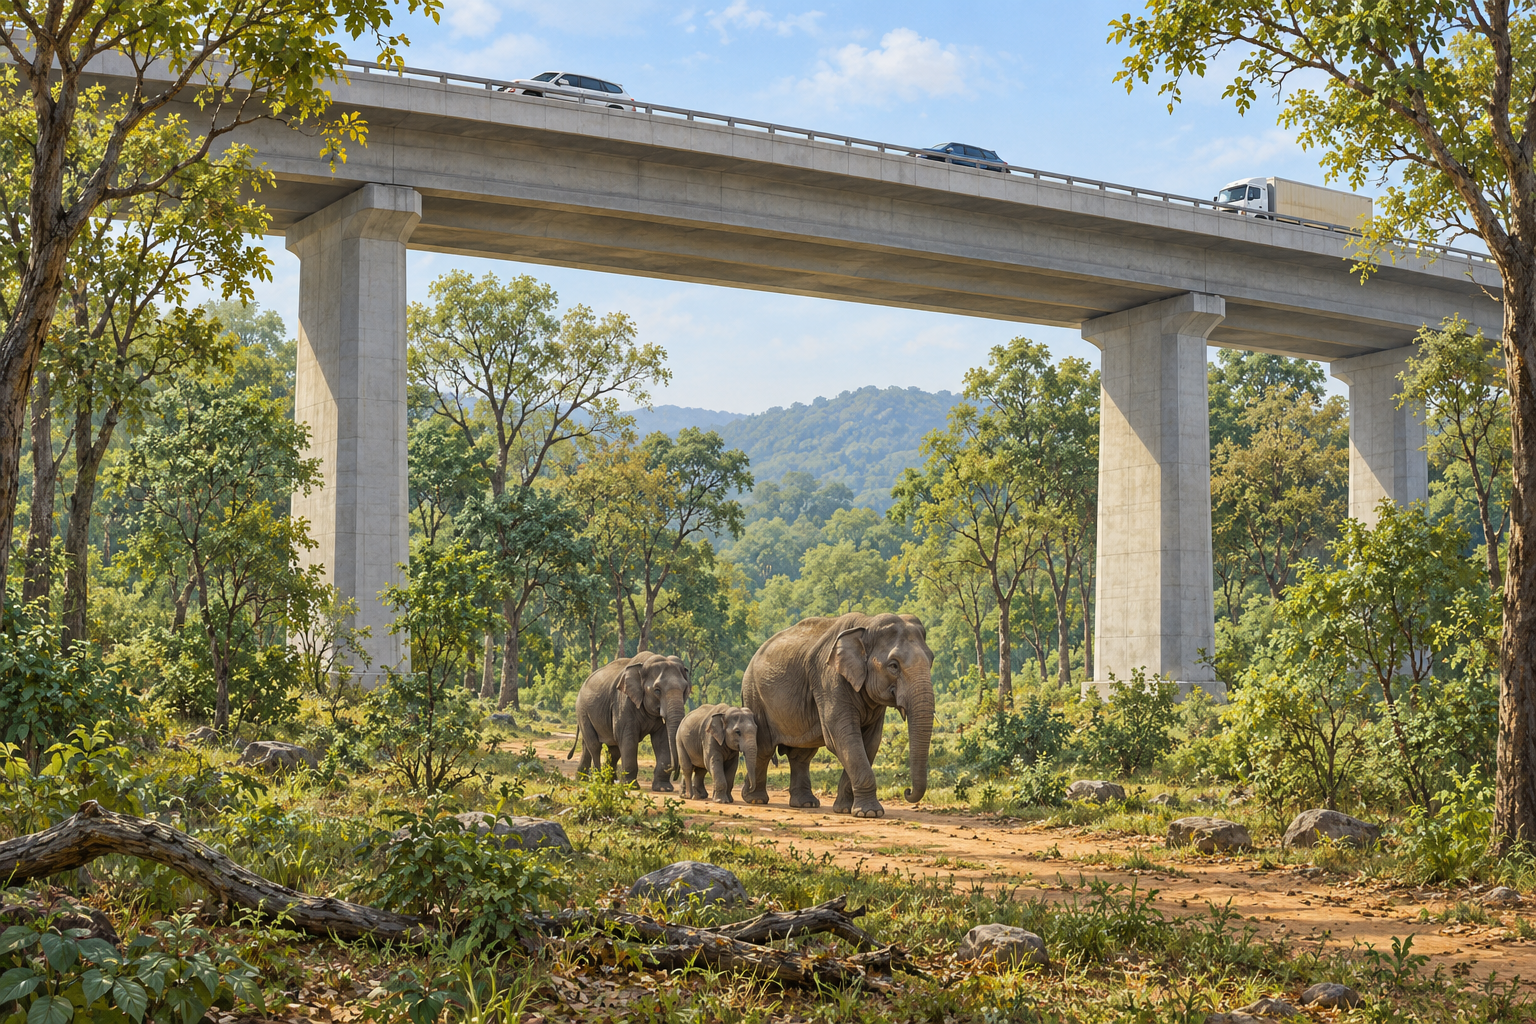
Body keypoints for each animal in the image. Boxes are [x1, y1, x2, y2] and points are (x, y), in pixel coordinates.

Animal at [568, 652, 692, 790]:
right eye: (657, 690)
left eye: (685, 690)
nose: (672, 770)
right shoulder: (624, 703)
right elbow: (628, 738)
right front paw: (631, 786)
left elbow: (662, 739)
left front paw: (663, 788)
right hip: (582, 710)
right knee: (595, 745)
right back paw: (598, 779)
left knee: (609, 748)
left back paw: (596, 780)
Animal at [741, 612, 934, 818]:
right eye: (894, 666)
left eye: (931, 660)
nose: (907, 791)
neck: (867, 624)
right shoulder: (829, 680)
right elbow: (843, 738)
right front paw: (870, 813)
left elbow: (870, 741)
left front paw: (845, 809)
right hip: (755, 696)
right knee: (764, 747)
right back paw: (755, 799)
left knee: (802, 753)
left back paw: (806, 803)